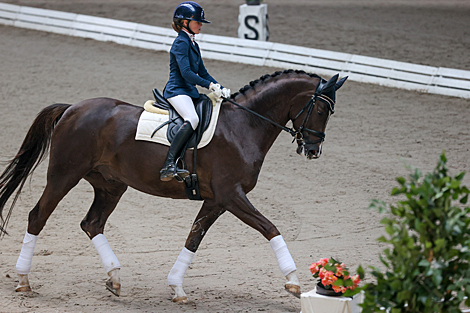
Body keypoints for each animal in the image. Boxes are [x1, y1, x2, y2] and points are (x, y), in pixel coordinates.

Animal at [0, 69, 346, 302]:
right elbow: (271, 228)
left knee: (92, 223)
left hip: (111, 185)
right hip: (64, 175)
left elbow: (193, 239)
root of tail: (72, 108)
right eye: (320, 109)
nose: (313, 150)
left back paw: (114, 278)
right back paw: (24, 281)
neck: (243, 126)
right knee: (37, 217)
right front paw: (293, 281)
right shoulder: (231, 195)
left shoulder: (217, 200)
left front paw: (177, 287)